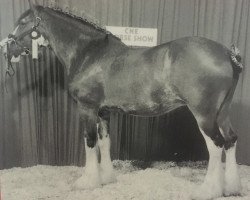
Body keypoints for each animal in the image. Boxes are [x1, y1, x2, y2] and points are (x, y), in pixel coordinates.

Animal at [0, 1, 242, 200]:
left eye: (22, 22)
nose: (6, 48)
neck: (89, 54)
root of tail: (226, 54)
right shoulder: (103, 111)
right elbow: (105, 142)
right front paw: (107, 178)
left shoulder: (87, 108)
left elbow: (90, 142)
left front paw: (87, 182)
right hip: (222, 112)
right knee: (231, 140)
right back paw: (231, 188)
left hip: (204, 114)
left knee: (216, 145)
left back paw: (207, 191)